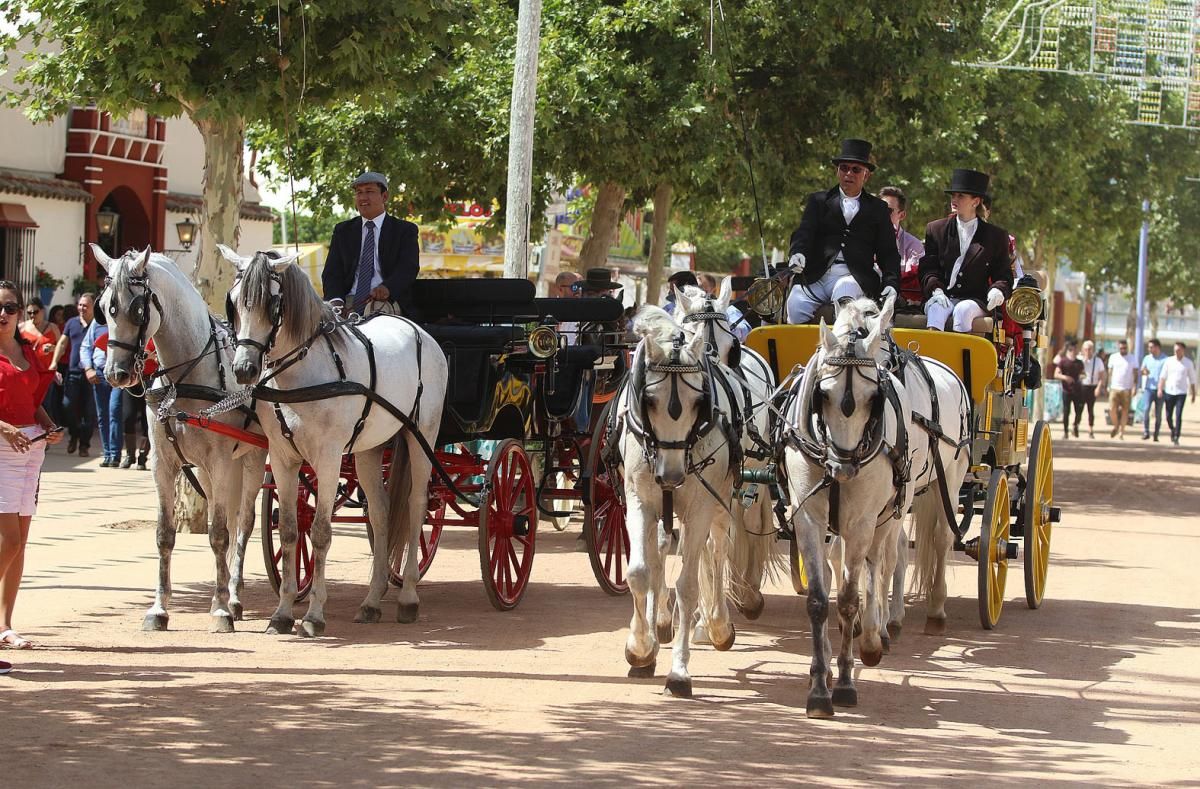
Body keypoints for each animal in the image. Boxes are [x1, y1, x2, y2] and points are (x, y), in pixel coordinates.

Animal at [93, 242, 267, 628]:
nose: (116, 374)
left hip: (252, 459)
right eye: (103, 306)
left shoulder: (221, 461)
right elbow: (165, 535)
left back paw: (232, 596)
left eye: (137, 308)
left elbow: (219, 534)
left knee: (244, 525)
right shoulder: (164, 463)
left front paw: (220, 610)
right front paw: (159, 608)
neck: (185, 377)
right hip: (209, 470)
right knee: (229, 518)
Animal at [218, 245, 448, 633]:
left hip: (422, 437)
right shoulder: (283, 458)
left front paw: (313, 615)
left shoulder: (327, 459)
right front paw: (283, 613)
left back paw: (407, 598)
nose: (244, 369)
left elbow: (322, 532)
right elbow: (291, 531)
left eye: (273, 303)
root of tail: (421, 333)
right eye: (233, 303)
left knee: (416, 506)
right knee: (381, 513)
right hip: (369, 450)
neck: (301, 374)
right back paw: (372, 601)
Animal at [782, 293, 969, 714]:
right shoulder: (809, 518)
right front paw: (819, 684)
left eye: (874, 398)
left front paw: (847, 677)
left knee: (919, 547)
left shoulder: (864, 520)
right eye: (822, 394)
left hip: (939, 484)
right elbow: (819, 598)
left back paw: (907, 620)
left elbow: (853, 596)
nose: (844, 467)